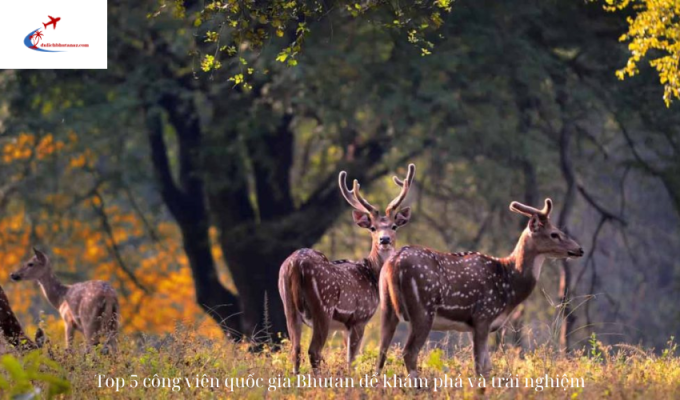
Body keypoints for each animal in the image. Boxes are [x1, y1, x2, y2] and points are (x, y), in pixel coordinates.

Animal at [278, 163, 418, 376]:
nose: (384, 240)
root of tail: (295, 265)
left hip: (288, 306)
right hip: (323, 307)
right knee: (313, 350)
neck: (371, 274)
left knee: (295, 350)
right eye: (373, 228)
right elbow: (352, 359)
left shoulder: (345, 326)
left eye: (394, 226)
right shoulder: (360, 317)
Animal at [378, 198, 584, 380]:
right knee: (409, 352)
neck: (509, 284)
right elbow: (479, 367)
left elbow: (487, 367)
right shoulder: (483, 315)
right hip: (423, 308)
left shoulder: (474, 325)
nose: (580, 249)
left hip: (387, 307)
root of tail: (394, 263)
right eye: (554, 233)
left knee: (382, 351)